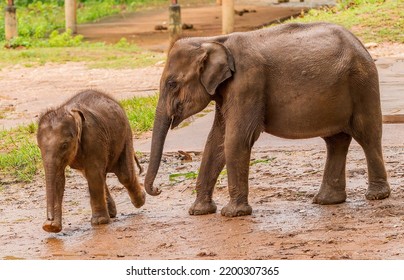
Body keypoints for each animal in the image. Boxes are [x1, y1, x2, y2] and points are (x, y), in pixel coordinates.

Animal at [35, 89, 144, 232]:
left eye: (64, 145)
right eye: (39, 147)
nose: (49, 220)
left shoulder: (94, 138)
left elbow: (94, 173)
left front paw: (99, 222)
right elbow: (59, 179)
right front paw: (52, 227)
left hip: (125, 134)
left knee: (125, 175)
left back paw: (141, 199)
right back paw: (112, 213)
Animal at [144, 23, 390, 218]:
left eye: (172, 84)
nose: (157, 190)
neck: (214, 40)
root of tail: (360, 43)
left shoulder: (248, 82)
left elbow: (236, 138)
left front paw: (232, 214)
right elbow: (216, 140)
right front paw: (199, 212)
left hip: (362, 84)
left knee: (367, 135)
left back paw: (376, 196)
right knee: (336, 141)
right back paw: (327, 200)